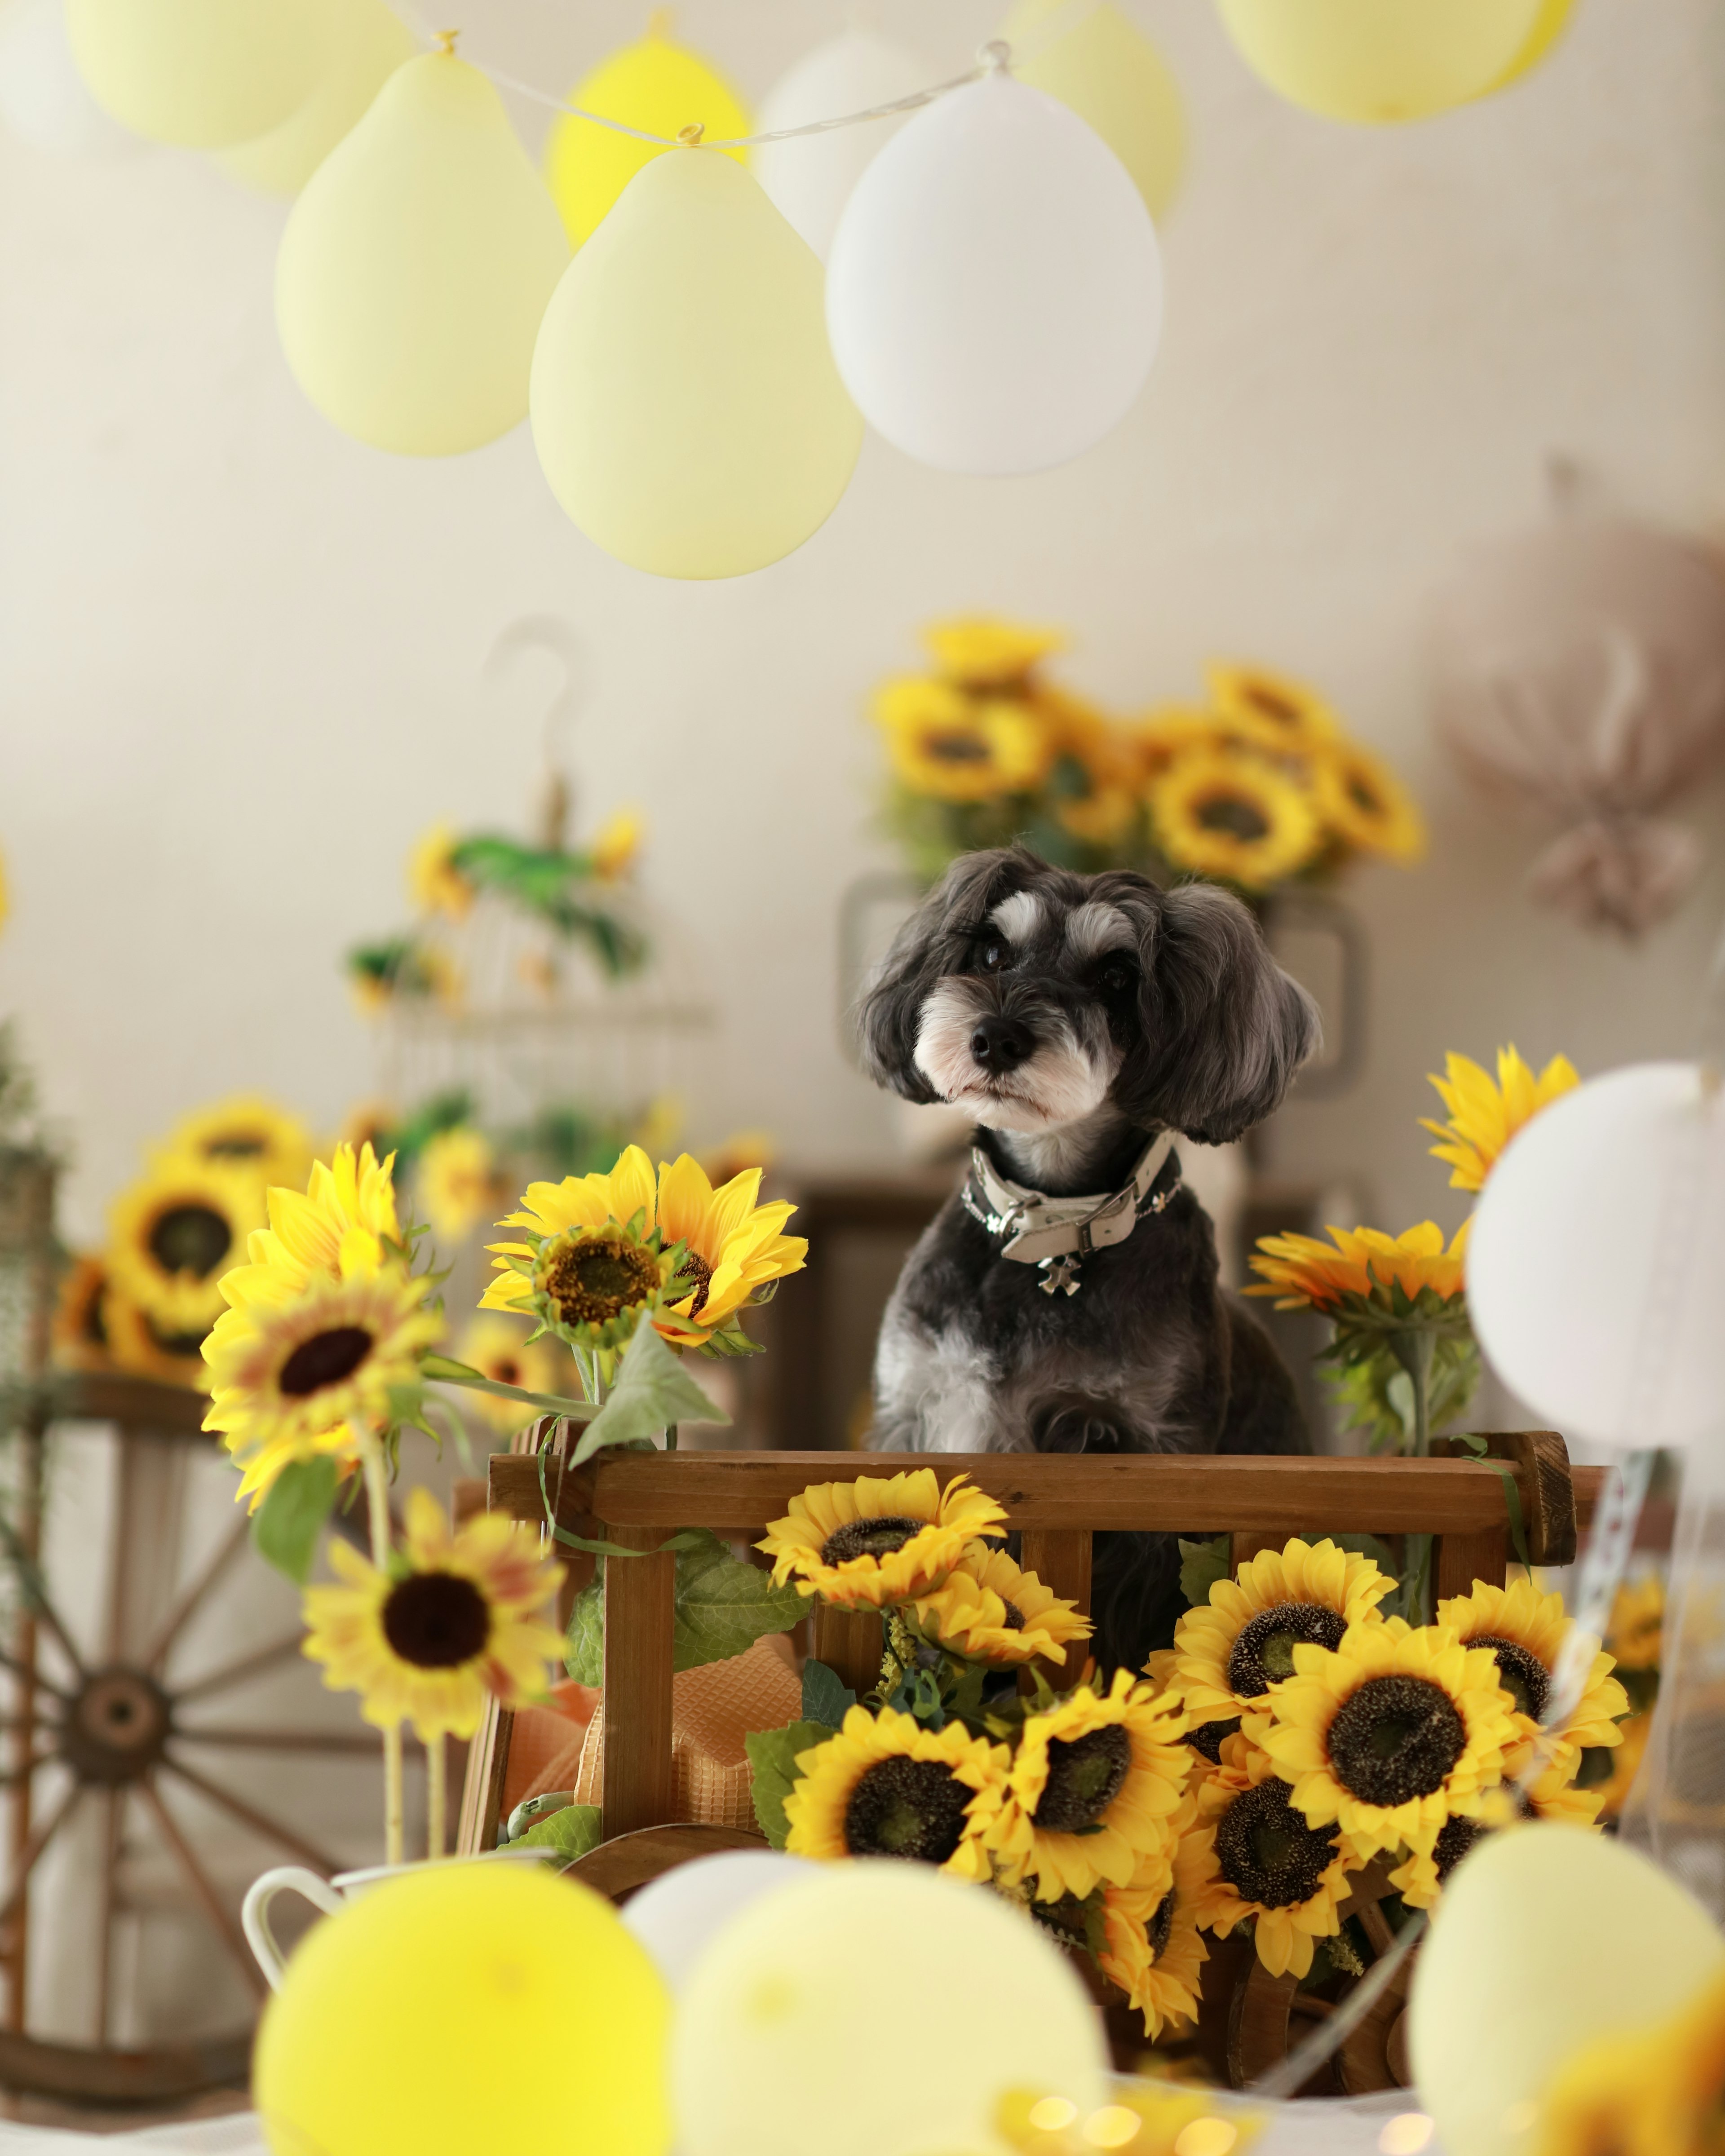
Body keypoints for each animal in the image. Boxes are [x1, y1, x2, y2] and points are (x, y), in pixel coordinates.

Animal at [858, 849, 1319, 1673]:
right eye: (991, 952)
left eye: (1116, 975)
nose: (997, 1037)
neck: (1044, 1229)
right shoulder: (916, 1413)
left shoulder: (1152, 1465)